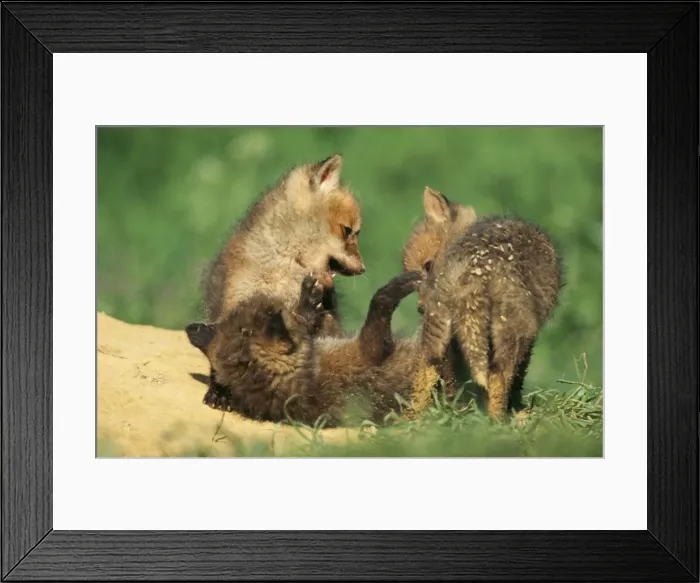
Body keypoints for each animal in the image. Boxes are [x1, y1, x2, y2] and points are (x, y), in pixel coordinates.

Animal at [403, 186, 563, 420]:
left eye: (427, 266)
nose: (420, 308)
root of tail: (473, 269)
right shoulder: (528, 335)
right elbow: (518, 378)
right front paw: (517, 409)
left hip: (438, 334)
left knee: (424, 374)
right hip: (509, 329)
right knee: (498, 375)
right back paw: (496, 420)